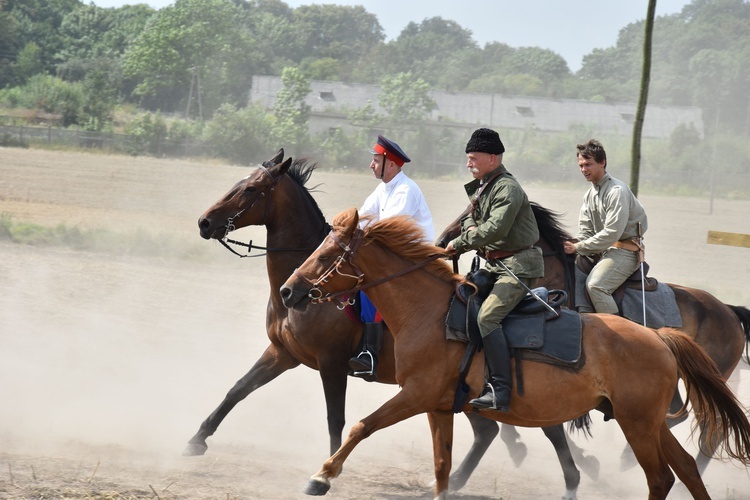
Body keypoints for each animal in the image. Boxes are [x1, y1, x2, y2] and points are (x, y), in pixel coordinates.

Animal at [184, 151, 588, 496]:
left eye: (251, 188)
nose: (205, 222)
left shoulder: (332, 364)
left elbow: (336, 419)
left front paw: (328, 471)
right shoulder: (283, 353)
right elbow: (238, 389)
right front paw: (197, 439)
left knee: (545, 429)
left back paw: (572, 476)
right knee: (490, 429)